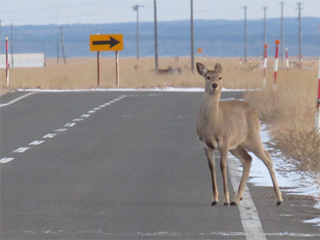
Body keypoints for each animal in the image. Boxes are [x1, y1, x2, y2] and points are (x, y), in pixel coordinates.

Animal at [195, 62, 282, 206]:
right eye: (208, 77)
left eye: (220, 77)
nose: (214, 85)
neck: (212, 123)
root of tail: (255, 111)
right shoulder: (205, 144)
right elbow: (211, 167)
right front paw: (214, 199)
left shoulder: (224, 141)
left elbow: (222, 166)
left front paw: (225, 199)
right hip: (237, 145)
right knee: (248, 159)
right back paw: (237, 199)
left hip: (253, 136)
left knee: (267, 158)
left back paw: (279, 199)